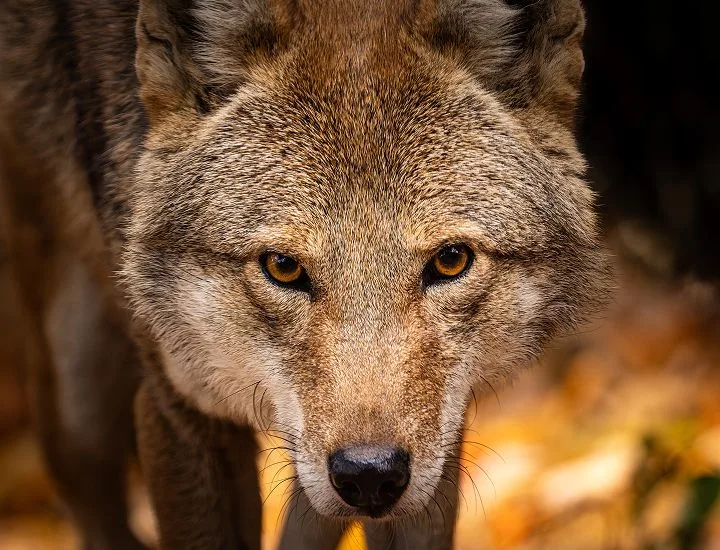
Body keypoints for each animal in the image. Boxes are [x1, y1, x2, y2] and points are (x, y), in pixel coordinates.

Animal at [0, 0, 609, 548]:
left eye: (451, 260)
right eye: (283, 267)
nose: (370, 475)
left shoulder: (438, 444)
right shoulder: (179, 409)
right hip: (77, 403)